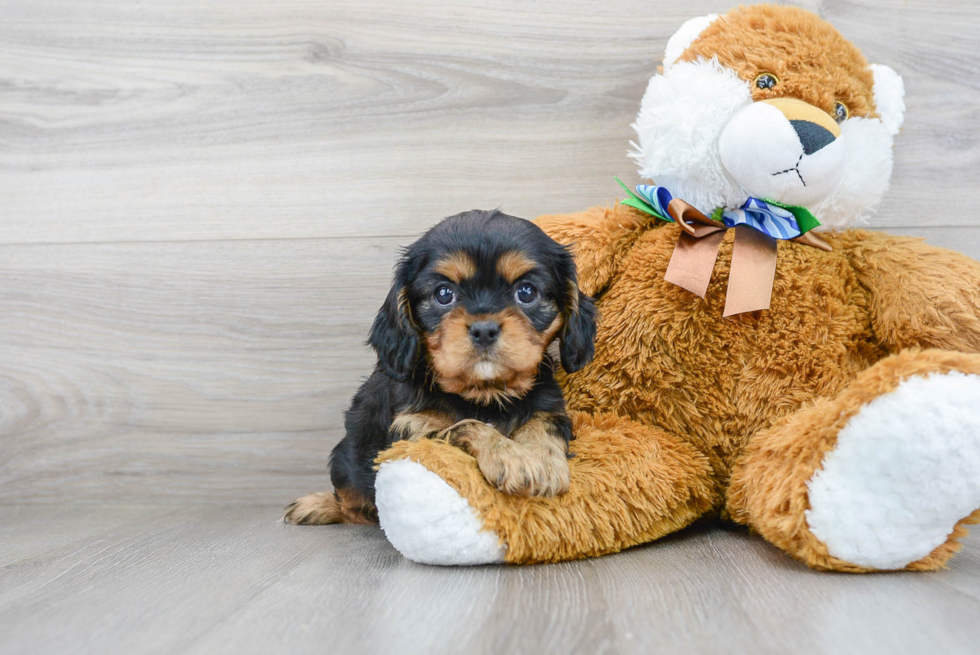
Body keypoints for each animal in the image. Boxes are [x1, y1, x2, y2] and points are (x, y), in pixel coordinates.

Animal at [284, 210, 596, 528]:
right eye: (444, 294)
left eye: (527, 292)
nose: (484, 330)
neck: (484, 394)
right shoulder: (412, 433)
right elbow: (464, 425)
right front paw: (512, 458)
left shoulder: (551, 409)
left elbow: (542, 425)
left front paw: (543, 461)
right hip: (345, 461)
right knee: (351, 506)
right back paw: (317, 505)